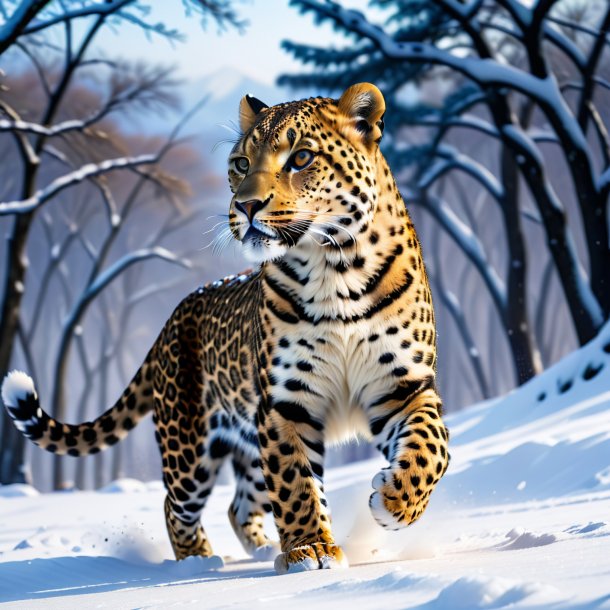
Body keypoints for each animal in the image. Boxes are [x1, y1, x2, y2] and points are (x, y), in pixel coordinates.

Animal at [2, 83, 448, 572]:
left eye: (301, 157)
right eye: (241, 164)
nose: (246, 206)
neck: (336, 270)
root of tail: (174, 317)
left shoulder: (401, 386)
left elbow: (432, 446)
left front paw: (394, 501)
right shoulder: (285, 403)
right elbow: (295, 483)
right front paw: (310, 549)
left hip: (247, 442)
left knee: (239, 503)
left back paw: (261, 548)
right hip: (190, 446)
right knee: (175, 505)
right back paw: (199, 561)